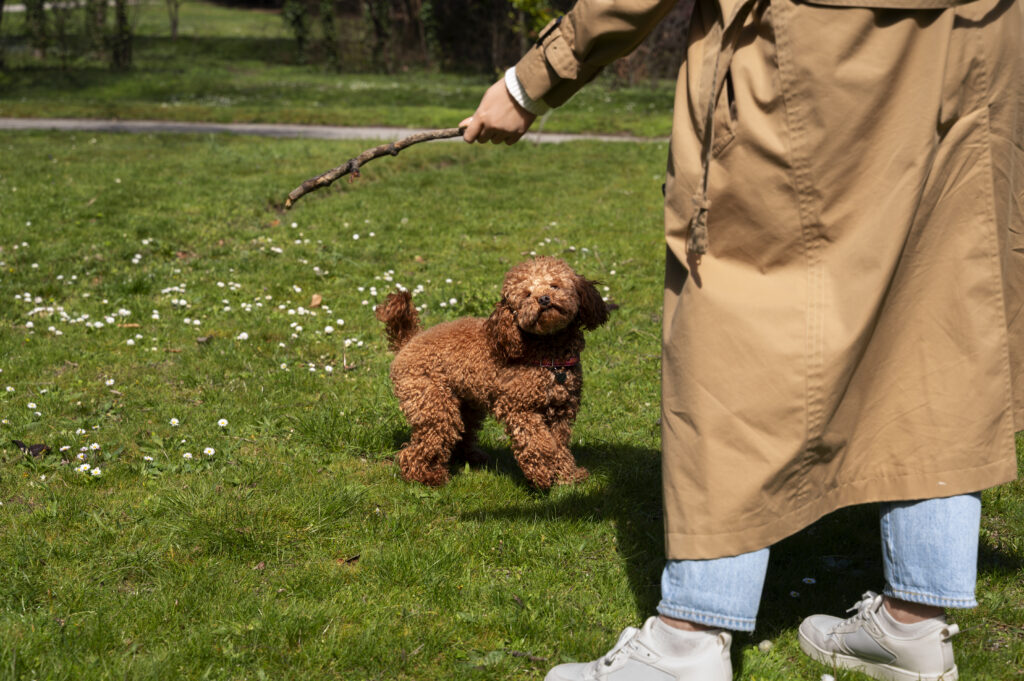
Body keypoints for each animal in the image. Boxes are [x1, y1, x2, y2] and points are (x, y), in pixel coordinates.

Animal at [374, 256, 606, 489]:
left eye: (554, 285)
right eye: (526, 295)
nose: (543, 299)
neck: (548, 353)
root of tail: (410, 340)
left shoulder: (561, 410)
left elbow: (560, 446)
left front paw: (568, 477)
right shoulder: (520, 408)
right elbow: (538, 443)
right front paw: (543, 475)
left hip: (465, 402)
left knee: (462, 432)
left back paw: (470, 458)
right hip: (432, 404)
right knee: (419, 447)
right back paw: (426, 476)